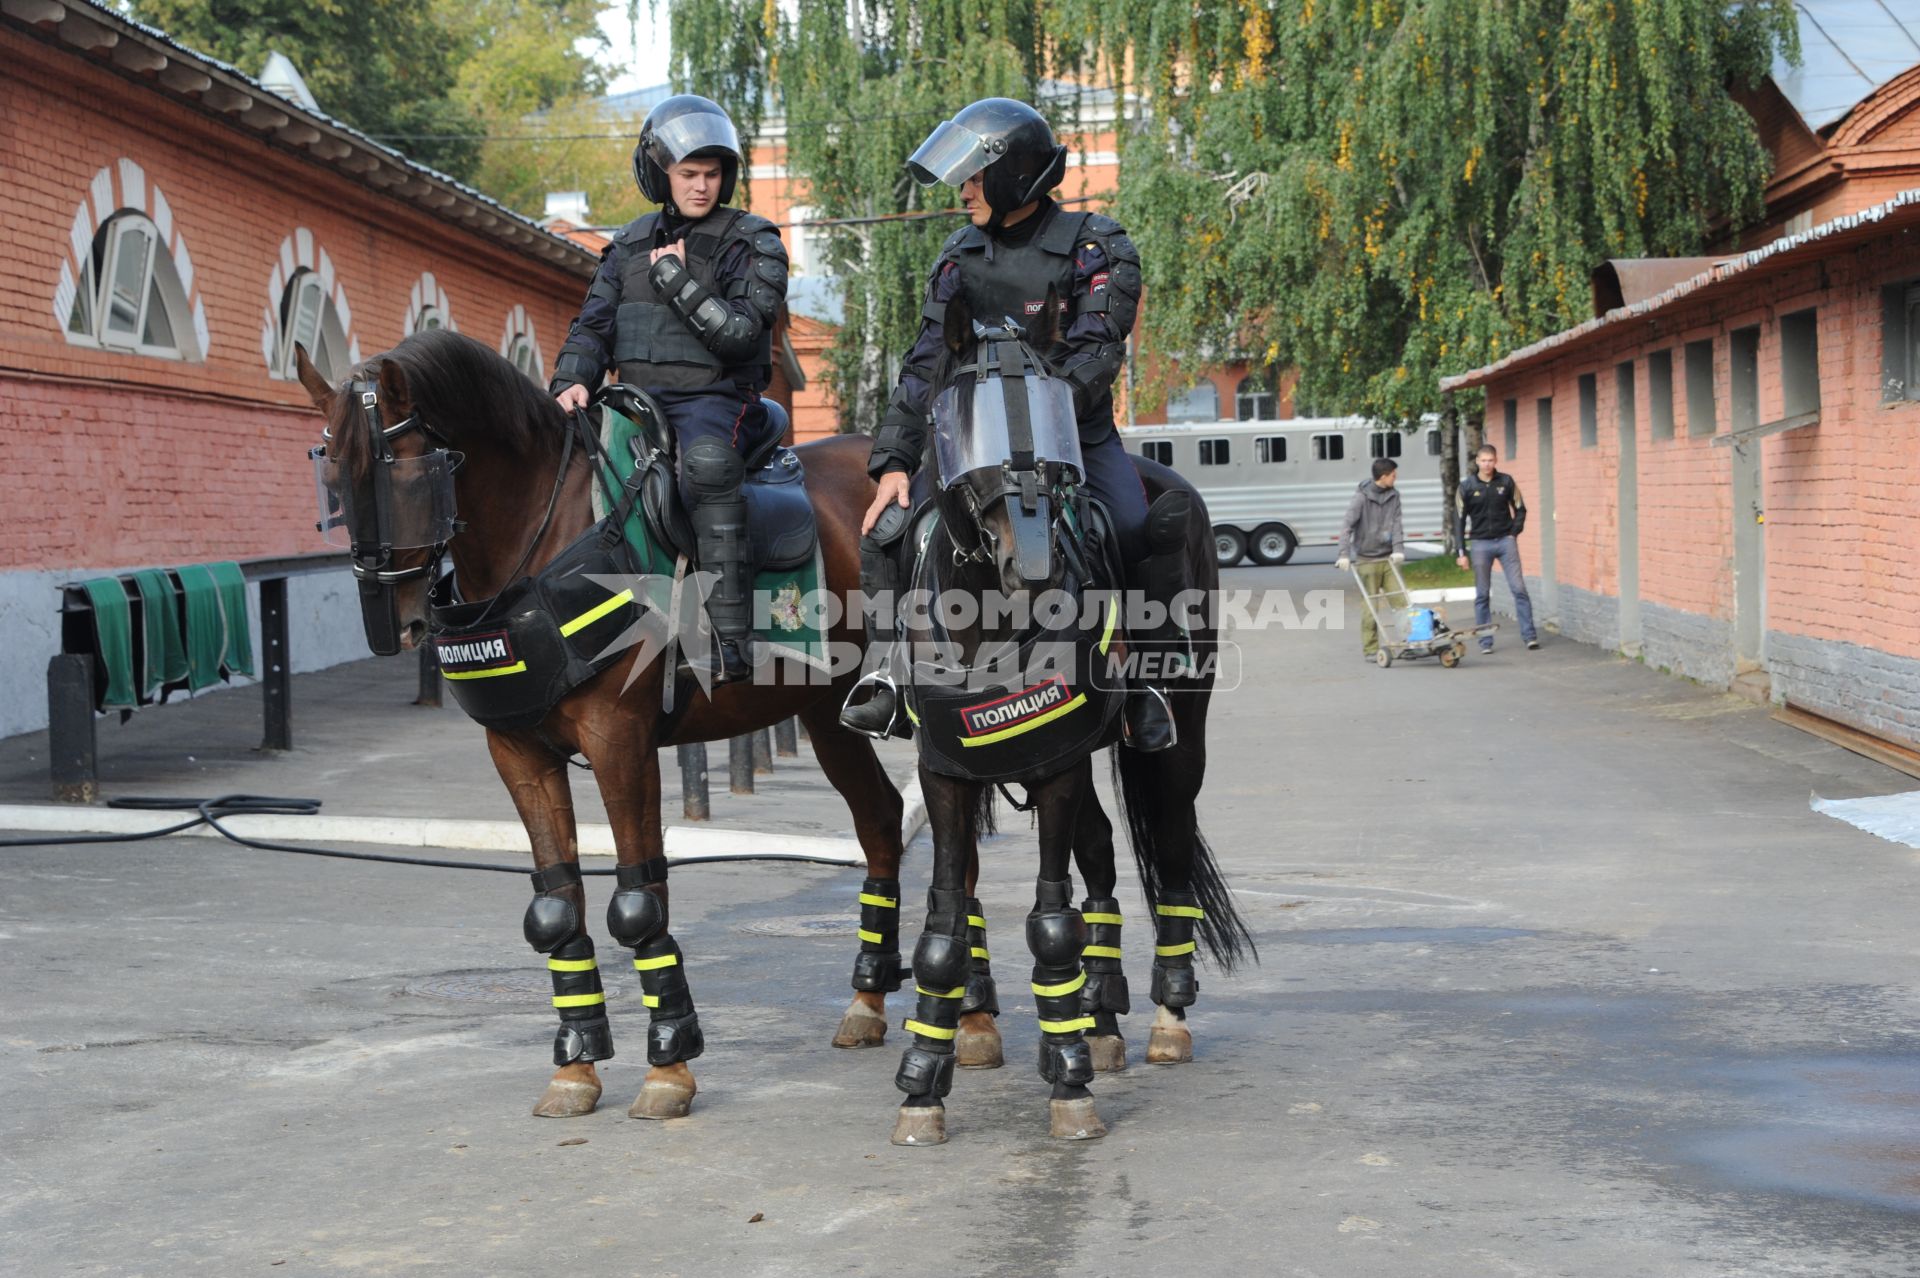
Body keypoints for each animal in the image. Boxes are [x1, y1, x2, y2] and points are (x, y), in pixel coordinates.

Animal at [301, 333, 913, 1120]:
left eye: (406, 475)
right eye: (333, 483)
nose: (389, 627)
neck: (541, 541)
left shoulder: (621, 741)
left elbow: (636, 897)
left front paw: (669, 1062)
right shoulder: (519, 752)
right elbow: (559, 903)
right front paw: (577, 1064)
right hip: (827, 715)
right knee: (881, 820)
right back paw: (869, 1000)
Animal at [879, 293, 1251, 1136]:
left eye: (1050, 410)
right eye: (959, 415)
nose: (1035, 565)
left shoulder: (1055, 768)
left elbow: (1052, 921)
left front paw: (1069, 1082)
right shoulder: (948, 775)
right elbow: (944, 927)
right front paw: (923, 1083)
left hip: (1174, 744)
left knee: (1169, 850)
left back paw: (1163, 1018)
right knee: (1104, 860)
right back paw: (1101, 1015)